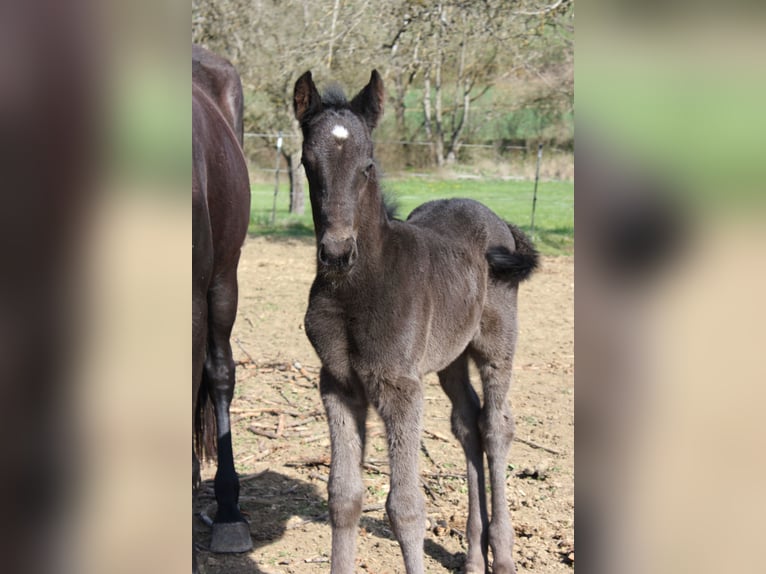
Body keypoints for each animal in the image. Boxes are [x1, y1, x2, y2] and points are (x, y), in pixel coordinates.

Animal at [293, 70, 539, 574]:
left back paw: (502, 555)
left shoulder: (400, 387)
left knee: (496, 425)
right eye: (308, 163)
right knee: (467, 422)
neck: (354, 289)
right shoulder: (337, 384)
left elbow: (405, 507)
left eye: (368, 166)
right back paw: (473, 556)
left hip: (497, 343)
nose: (337, 252)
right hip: (449, 356)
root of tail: (498, 219)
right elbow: (343, 497)